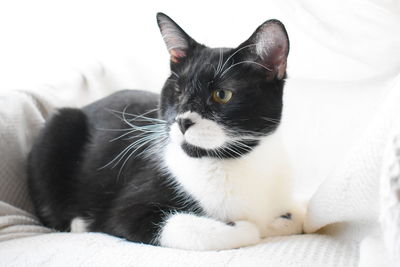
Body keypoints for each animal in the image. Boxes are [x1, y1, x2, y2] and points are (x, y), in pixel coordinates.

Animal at [26, 12, 304, 251]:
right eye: (178, 92)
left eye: (222, 94)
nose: (182, 121)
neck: (230, 161)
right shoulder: (124, 211)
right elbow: (196, 227)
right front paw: (245, 226)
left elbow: (295, 217)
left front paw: (283, 219)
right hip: (59, 127)